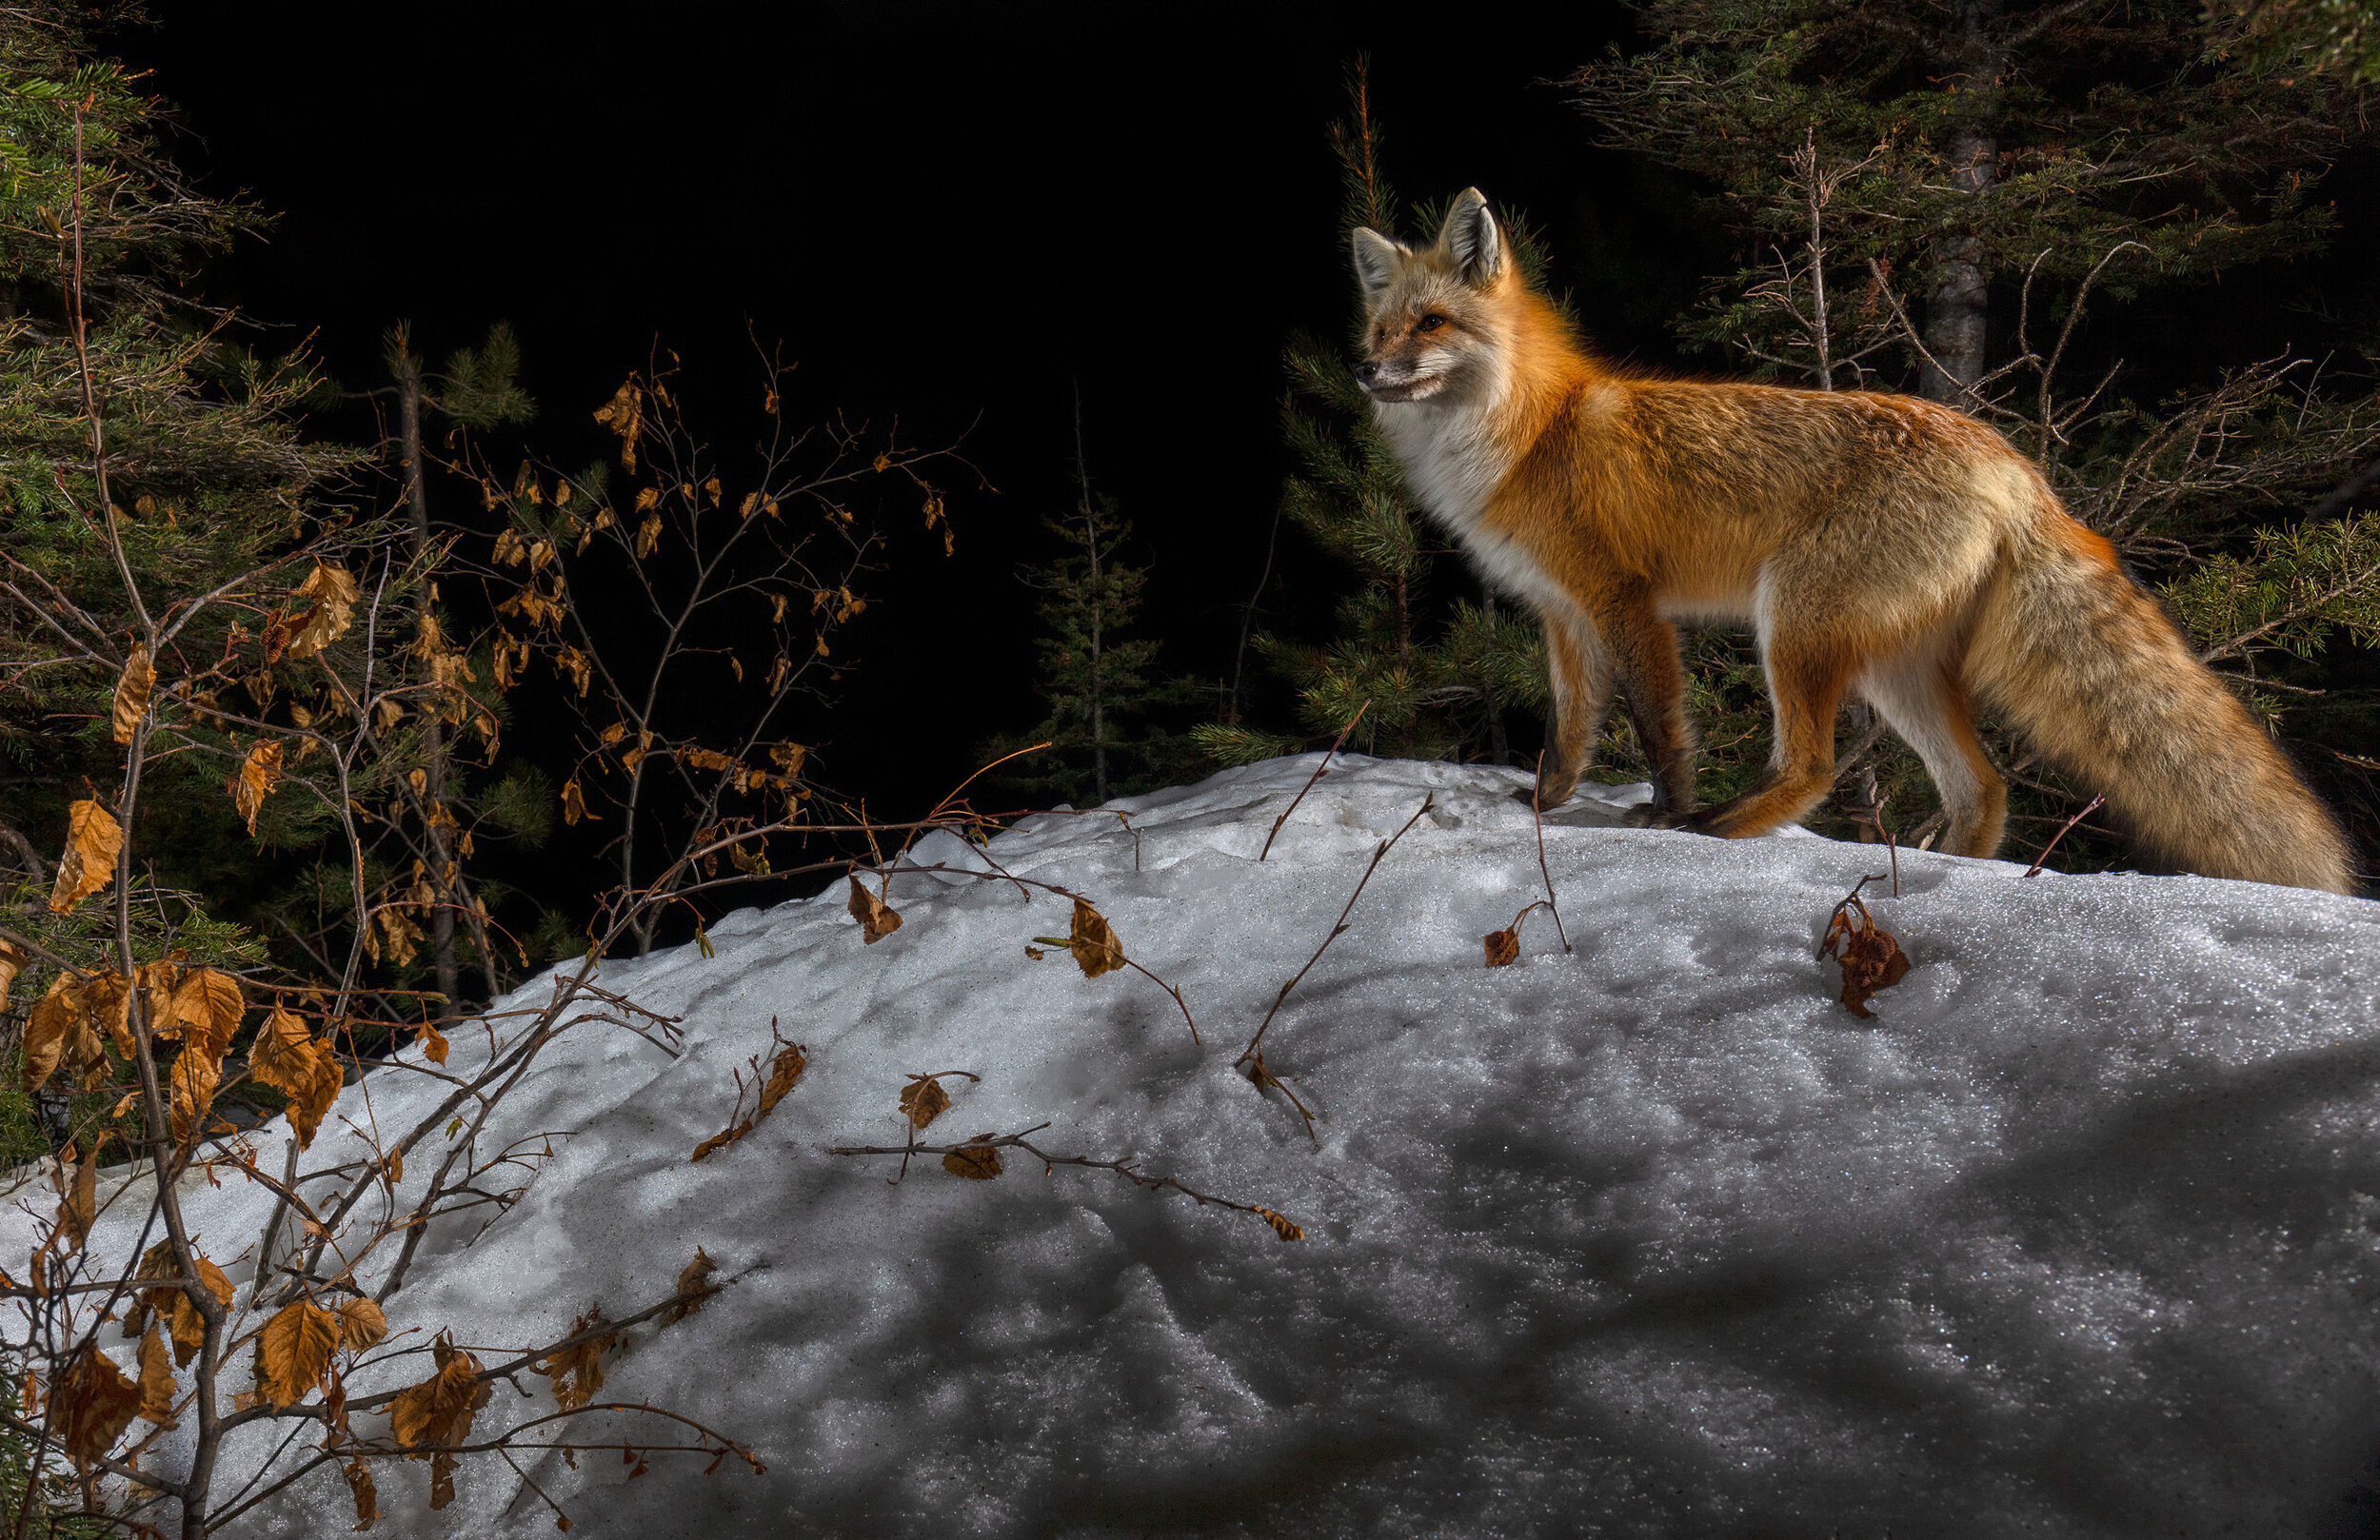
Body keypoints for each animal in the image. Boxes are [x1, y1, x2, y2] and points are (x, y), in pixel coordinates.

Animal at [1361, 188, 2361, 899]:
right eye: (1379, 326)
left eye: (1433, 323)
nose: (1367, 370)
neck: (1530, 433)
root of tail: (2013, 463)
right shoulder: (1562, 616)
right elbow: (1567, 736)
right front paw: (1541, 809)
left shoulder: (1625, 604)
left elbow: (1657, 731)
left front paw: (1657, 820)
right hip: (1891, 668)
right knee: (1981, 786)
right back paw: (1948, 879)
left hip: (1795, 627)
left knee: (1813, 767)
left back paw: (1716, 830)